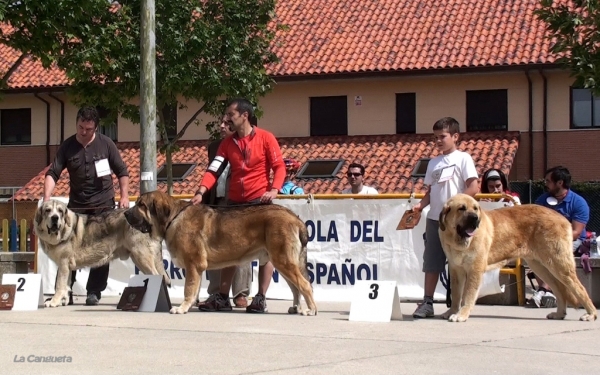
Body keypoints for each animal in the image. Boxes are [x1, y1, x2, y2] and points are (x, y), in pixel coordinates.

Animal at [123, 191, 316, 318]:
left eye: (141, 205)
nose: (125, 212)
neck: (172, 218)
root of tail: (296, 218)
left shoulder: (193, 265)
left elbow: (188, 288)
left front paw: (182, 308)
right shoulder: (197, 268)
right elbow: (194, 289)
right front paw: (190, 305)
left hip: (283, 260)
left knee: (304, 284)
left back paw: (311, 309)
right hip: (283, 262)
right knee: (296, 287)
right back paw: (296, 308)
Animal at [436, 194, 596, 324]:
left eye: (475, 209)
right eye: (461, 208)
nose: (475, 218)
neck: (458, 241)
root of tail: (563, 218)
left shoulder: (475, 269)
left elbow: (468, 295)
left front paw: (461, 315)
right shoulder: (456, 270)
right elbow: (456, 294)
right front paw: (452, 312)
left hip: (559, 265)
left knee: (579, 288)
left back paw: (591, 314)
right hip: (541, 267)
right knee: (559, 290)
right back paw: (559, 314)